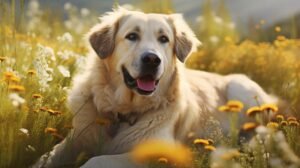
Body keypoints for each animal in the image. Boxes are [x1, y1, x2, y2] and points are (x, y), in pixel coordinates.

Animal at [34, 6, 280, 168]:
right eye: (132, 36)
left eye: (164, 39)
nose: (152, 59)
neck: (122, 112)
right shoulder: (74, 140)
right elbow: (45, 158)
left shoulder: (157, 152)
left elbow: (97, 160)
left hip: (241, 88)